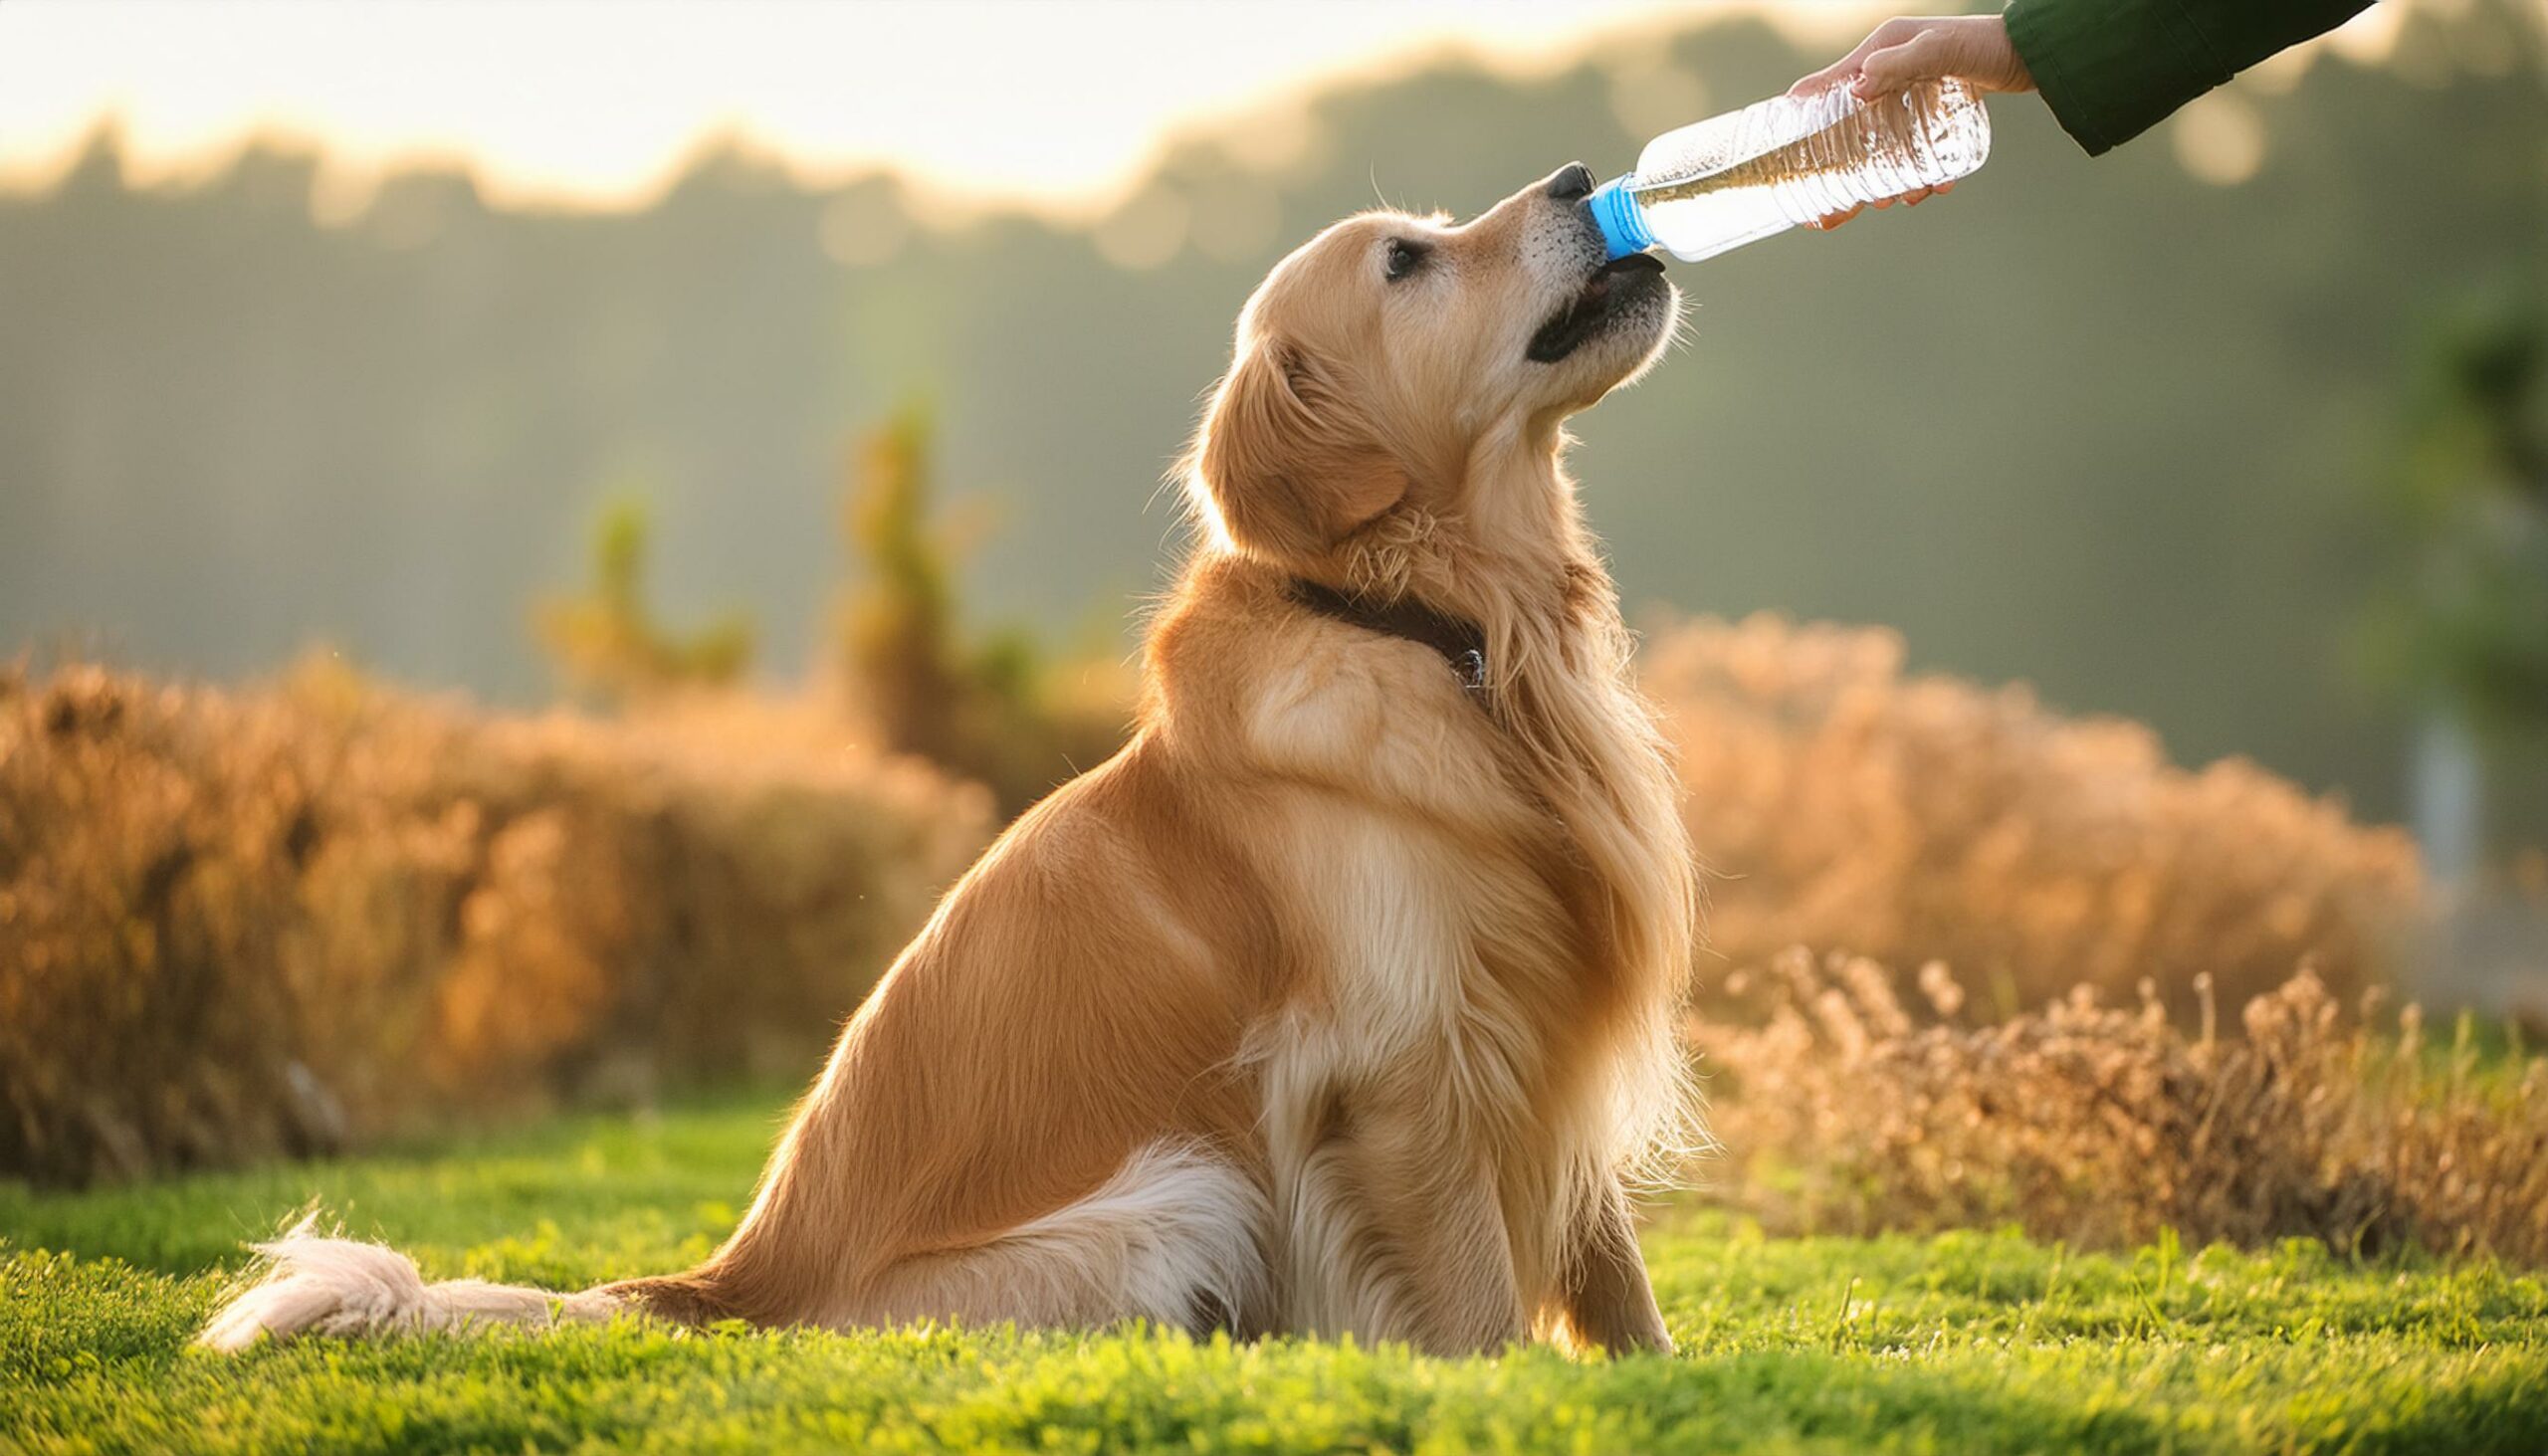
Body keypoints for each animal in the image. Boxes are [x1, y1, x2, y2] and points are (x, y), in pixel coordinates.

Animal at [198, 165, 1691, 1366]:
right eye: (1405, 263)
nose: (1579, 175)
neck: (1442, 631)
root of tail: (729, 1284)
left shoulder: (1541, 1024)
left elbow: (1610, 1264)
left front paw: (1659, 1380)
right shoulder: (1400, 1064)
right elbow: (1479, 1303)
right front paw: (1518, 1393)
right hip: (1181, 1194)